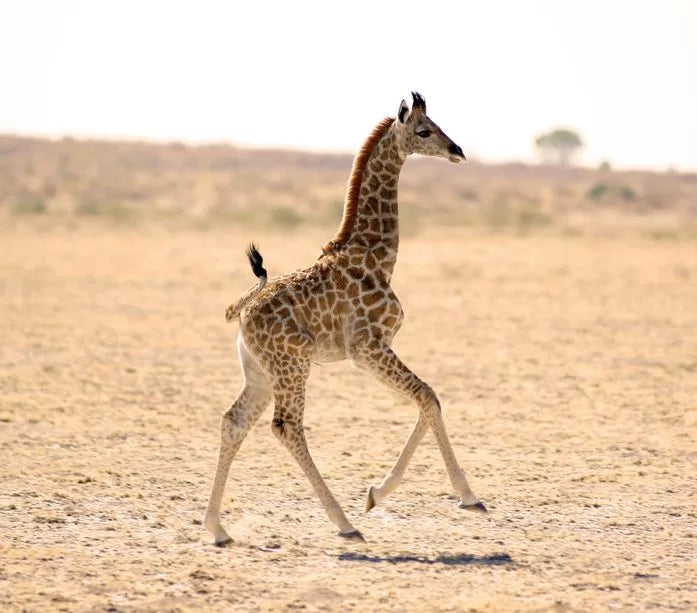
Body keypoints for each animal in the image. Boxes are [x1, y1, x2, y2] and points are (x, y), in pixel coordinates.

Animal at [204, 92, 486, 545]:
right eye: (424, 130)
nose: (457, 150)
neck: (377, 257)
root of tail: (241, 313)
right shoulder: (367, 347)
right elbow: (427, 396)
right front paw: (466, 495)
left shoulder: (373, 351)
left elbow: (427, 398)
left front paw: (377, 493)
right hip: (294, 363)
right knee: (286, 427)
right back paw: (344, 523)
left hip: (260, 371)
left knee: (234, 421)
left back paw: (217, 528)